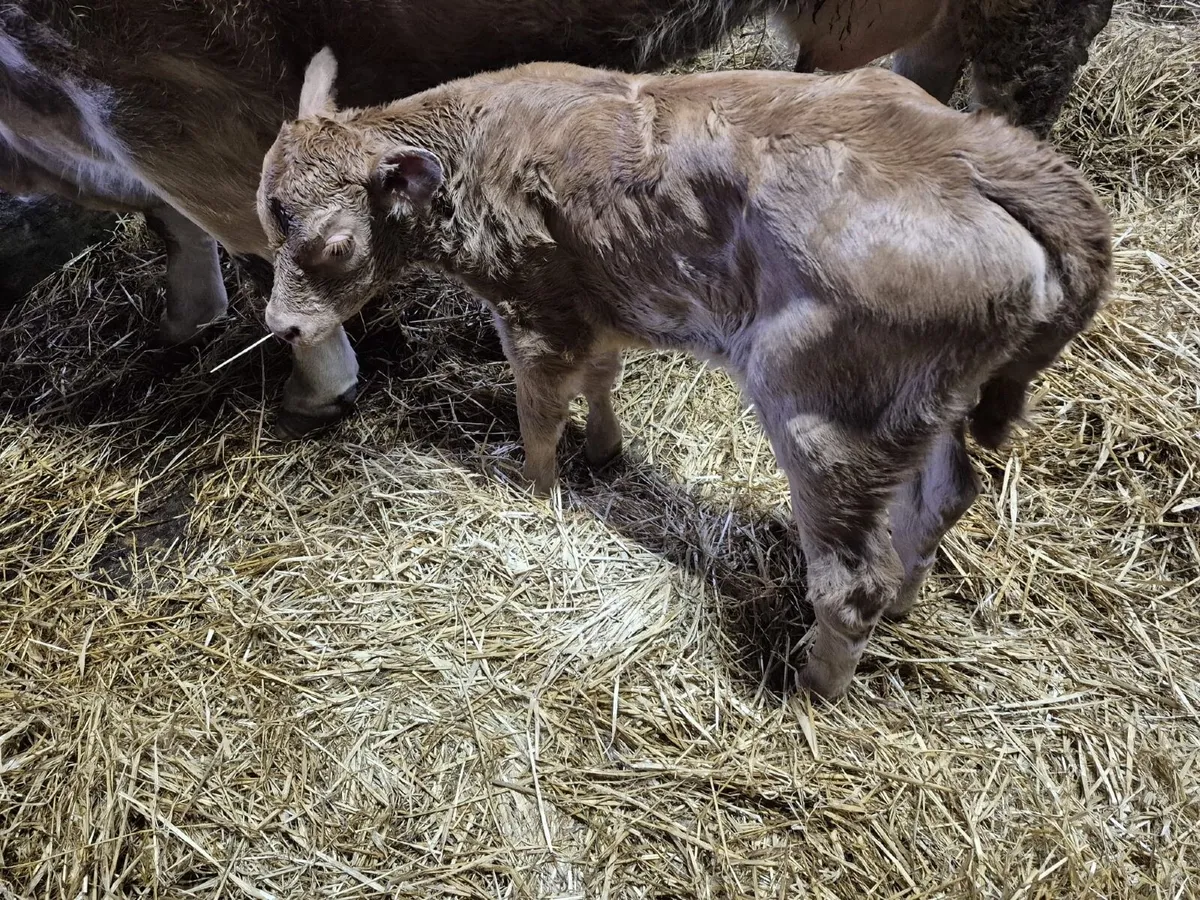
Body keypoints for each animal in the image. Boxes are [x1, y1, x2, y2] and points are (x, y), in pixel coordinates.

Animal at [255, 50, 1112, 698]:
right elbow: (600, 377)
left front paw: (535, 490)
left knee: (852, 579)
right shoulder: (595, 302)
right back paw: (903, 604)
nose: (282, 326)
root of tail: (977, 151)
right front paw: (604, 451)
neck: (473, 150)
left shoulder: (533, 309)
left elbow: (540, 410)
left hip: (825, 417)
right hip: (923, 405)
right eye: (267, 214)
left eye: (333, 244)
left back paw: (813, 687)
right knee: (944, 496)